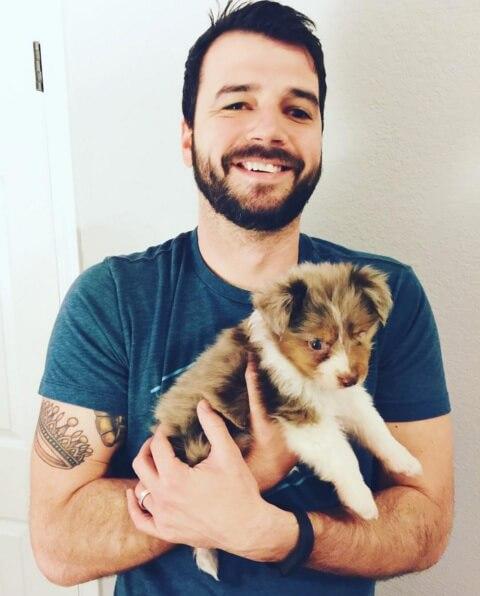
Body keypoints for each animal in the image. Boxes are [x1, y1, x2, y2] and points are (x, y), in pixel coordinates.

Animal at [151, 261, 422, 580]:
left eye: (359, 333)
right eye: (316, 343)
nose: (349, 377)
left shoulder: (348, 398)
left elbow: (374, 426)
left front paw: (404, 460)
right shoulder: (301, 413)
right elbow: (342, 456)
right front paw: (362, 500)